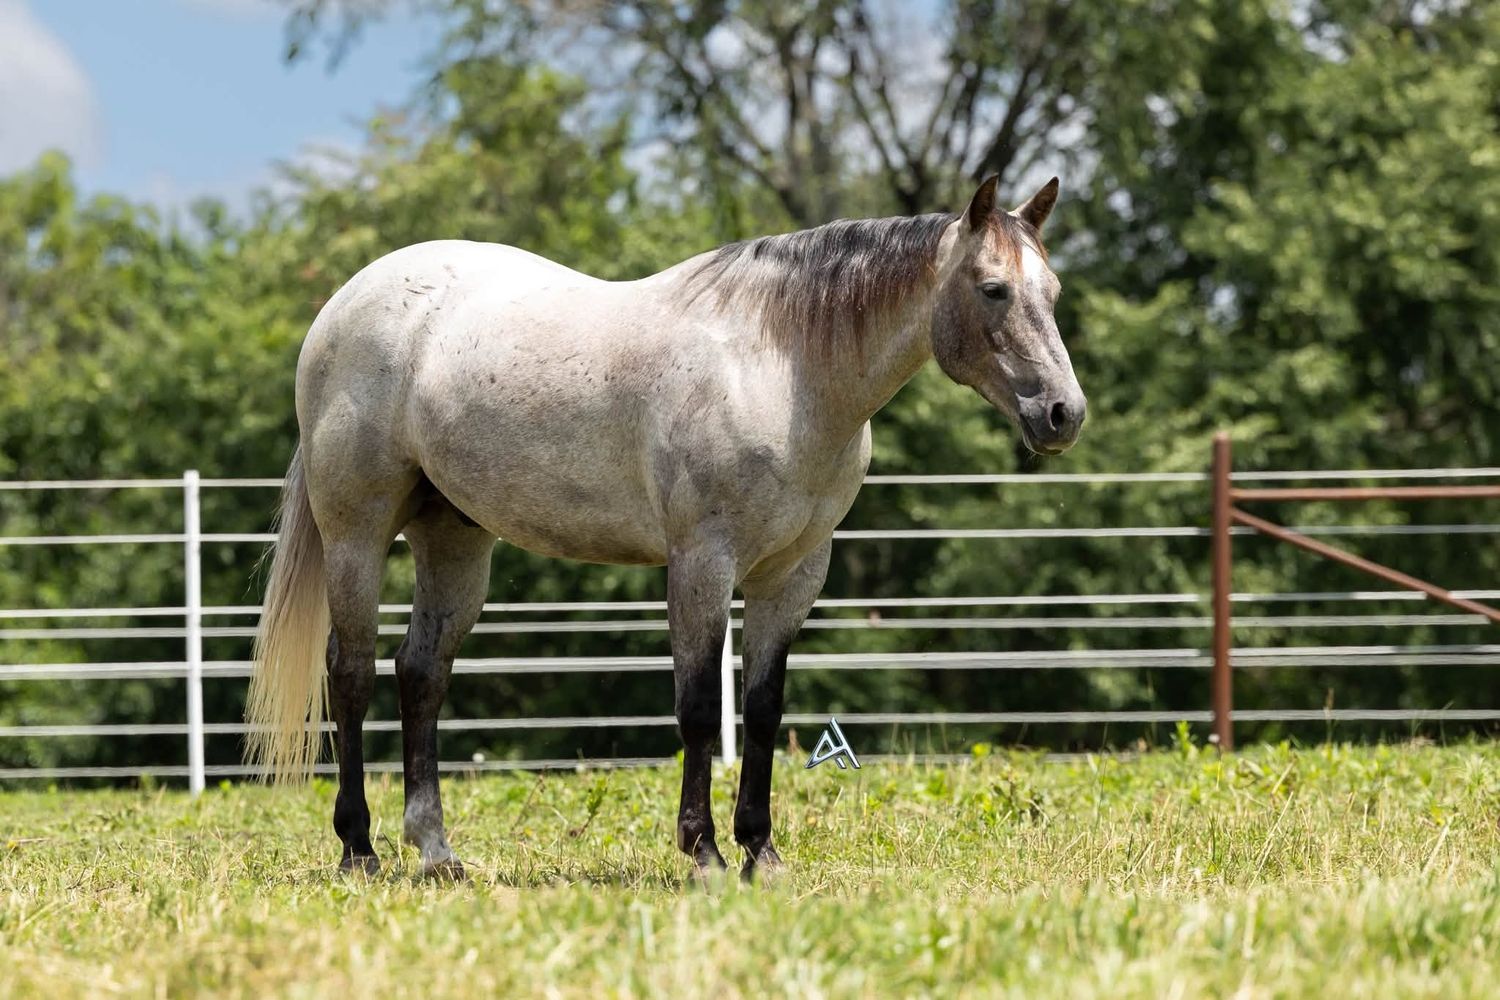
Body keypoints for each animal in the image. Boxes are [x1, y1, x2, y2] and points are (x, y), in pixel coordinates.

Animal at [245, 174, 1086, 880]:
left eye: (1052, 289)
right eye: (992, 289)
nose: (1062, 414)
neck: (781, 367)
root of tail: (347, 303)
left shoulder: (793, 575)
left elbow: (762, 708)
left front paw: (761, 852)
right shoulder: (702, 563)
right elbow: (697, 707)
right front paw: (705, 852)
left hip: (453, 539)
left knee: (421, 675)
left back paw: (437, 853)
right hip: (356, 534)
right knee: (351, 674)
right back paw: (359, 850)